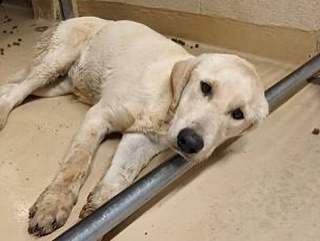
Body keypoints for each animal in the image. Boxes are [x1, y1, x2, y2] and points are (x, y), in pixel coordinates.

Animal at [0, 17, 268, 236]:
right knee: (18, 90)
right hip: (55, 62)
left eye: (238, 114)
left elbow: (123, 174)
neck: (166, 104)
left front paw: (102, 208)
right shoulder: (99, 115)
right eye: (205, 87)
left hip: (57, 85)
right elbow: (76, 165)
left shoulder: (142, 140)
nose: (190, 142)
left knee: (13, 88)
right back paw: (2, 112)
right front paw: (53, 204)